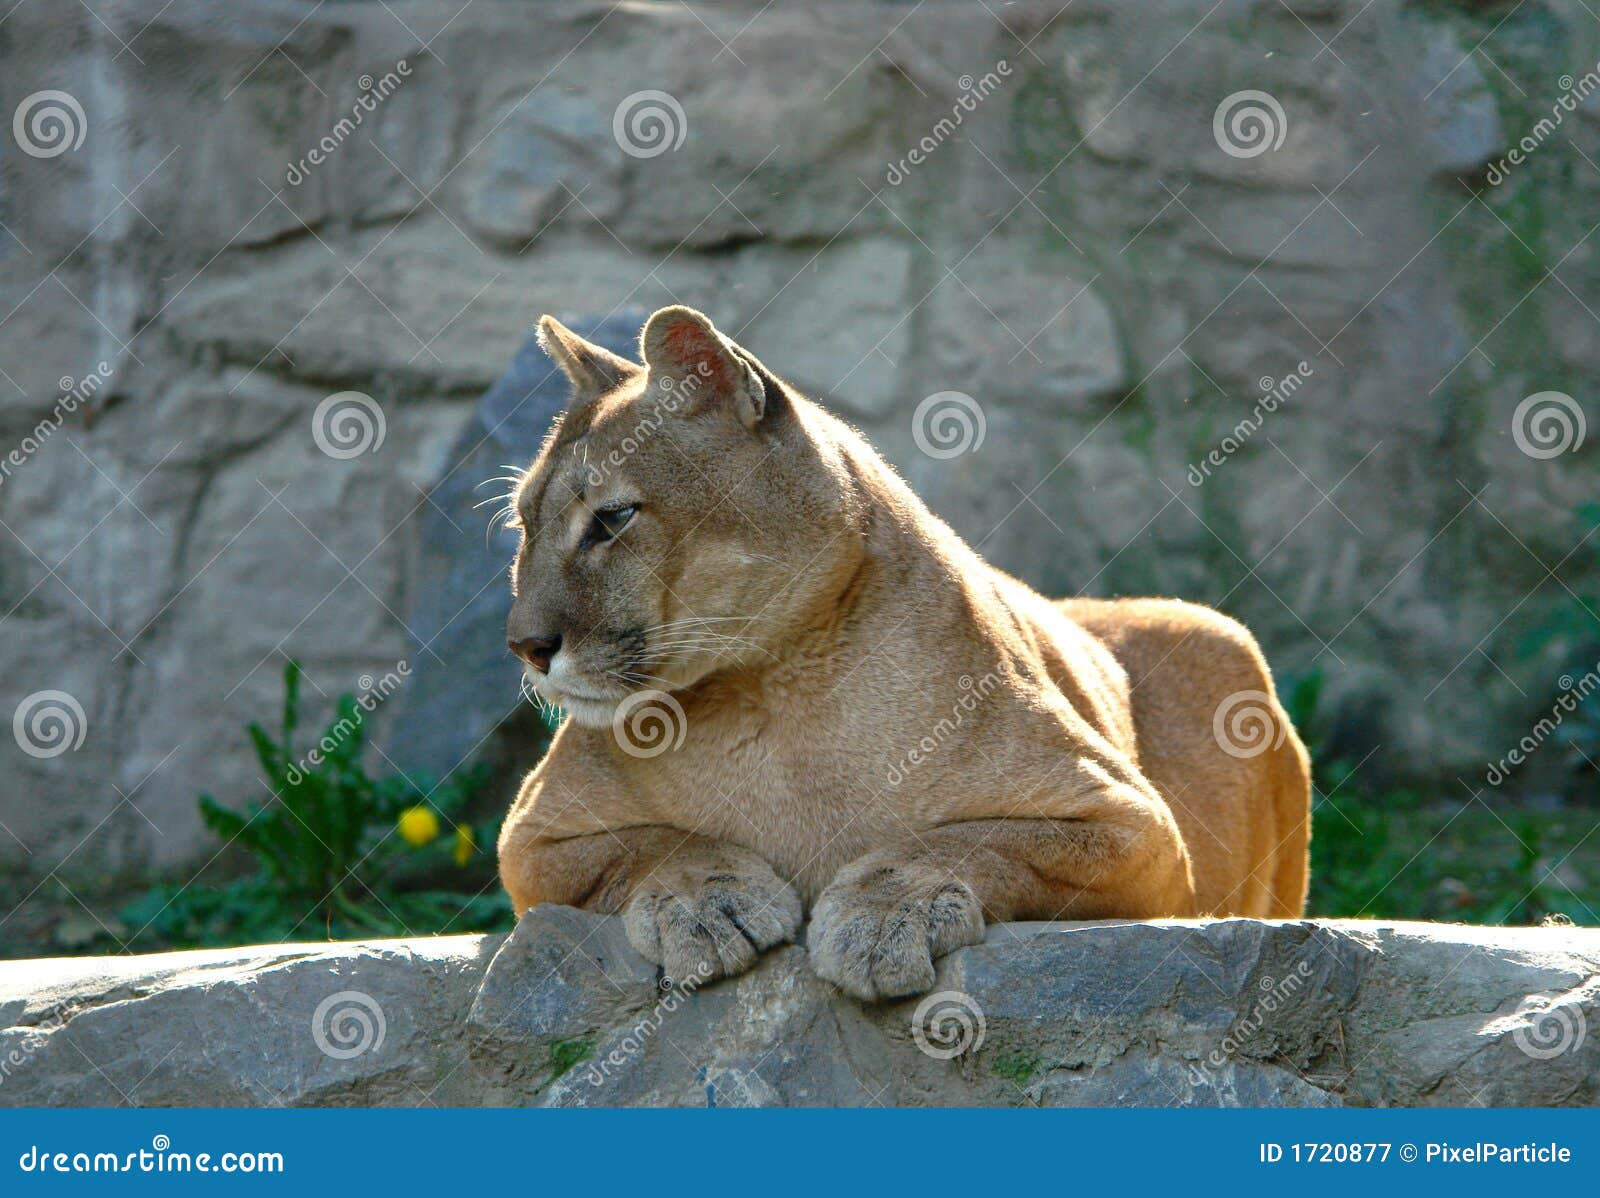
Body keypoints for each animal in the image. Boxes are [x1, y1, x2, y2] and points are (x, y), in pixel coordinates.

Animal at [497, 304, 1311, 1001]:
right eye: (523, 522)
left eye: (613, 519)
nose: (525, 646)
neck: (779, 688)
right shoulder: (528, 840)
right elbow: (656, 844)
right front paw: (707, 903)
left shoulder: (1135, 827)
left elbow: (967, 841)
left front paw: (884, 916)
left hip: (1220, 638)